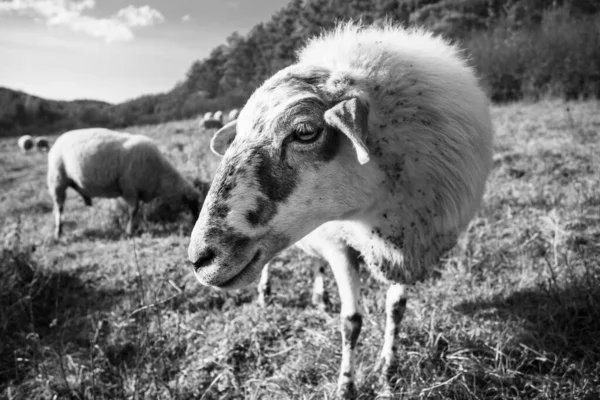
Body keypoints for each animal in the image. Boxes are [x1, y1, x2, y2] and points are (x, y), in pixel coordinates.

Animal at [47, 128, 202, 239]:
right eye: (194, 205)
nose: (195, 226)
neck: (161, 177)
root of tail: (58, 140)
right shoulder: (130, 188)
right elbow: (133, 210)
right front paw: (129, 231)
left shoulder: (137, 190)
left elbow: (139, 211)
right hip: (57, 179)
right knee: (59, 208)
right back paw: (58, 232)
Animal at [186, 22, 492, 400]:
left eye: (304, 130)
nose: (199, 259)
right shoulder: (341, 244)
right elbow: (352, 323)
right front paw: (346, 385)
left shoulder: (406, 234)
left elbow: (396, 309)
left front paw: (387, 370)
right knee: (270, 264)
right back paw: (266, 293)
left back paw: (320, 296)